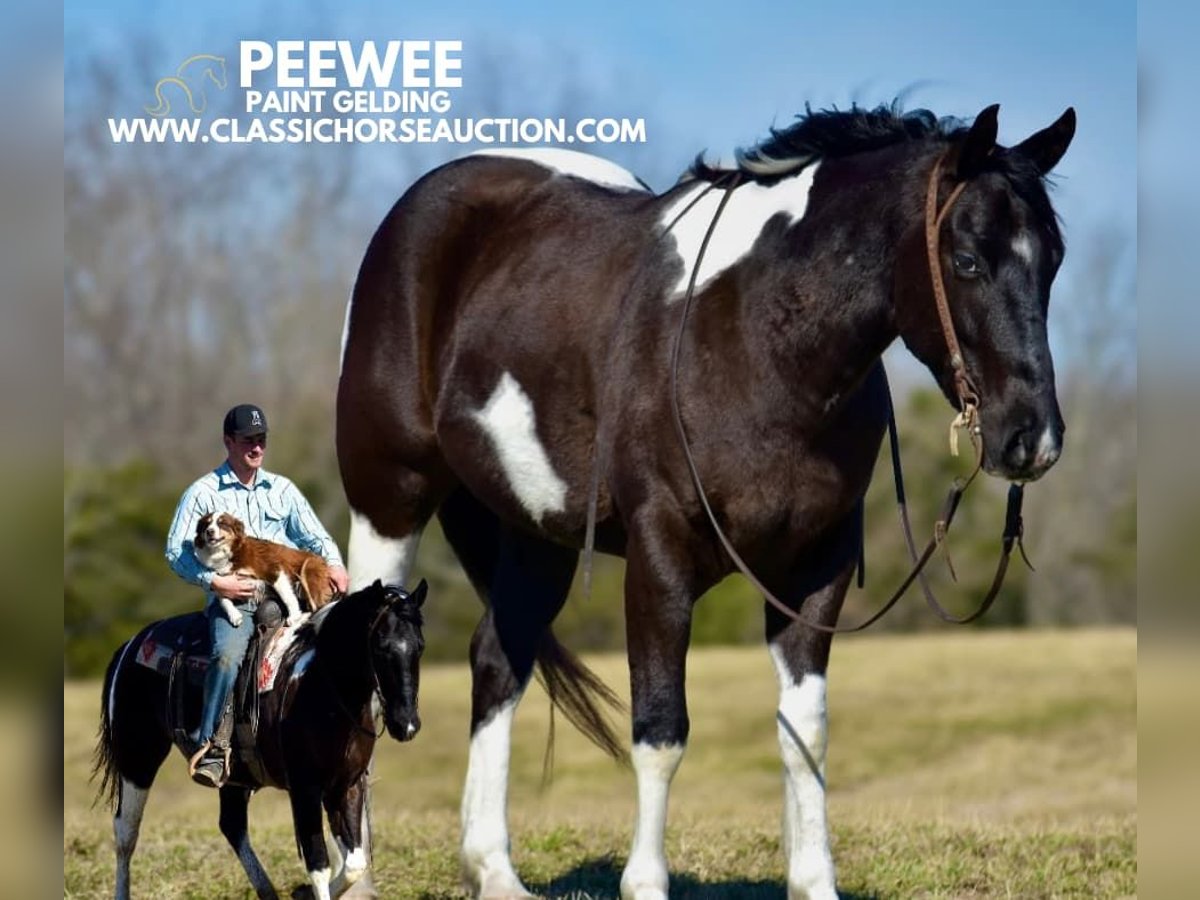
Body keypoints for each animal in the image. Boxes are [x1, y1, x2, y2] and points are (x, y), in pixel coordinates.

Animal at [92, 580, 427, 900]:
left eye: (420, 647)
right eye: (381, 647)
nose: (407, 724)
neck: (322, 687)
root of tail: (131, 645)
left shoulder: (346, 786)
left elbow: (355, 863)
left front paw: (302, 893)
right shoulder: (305, 789)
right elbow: (318, 864)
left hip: (233, 776)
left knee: (231, 825)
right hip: (137, 756)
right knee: (126, 832)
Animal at [192, 513, 336, 628]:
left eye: (222, 523)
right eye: (206, 524)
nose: (209, 531)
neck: (230, 552)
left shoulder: (273, 570)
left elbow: (287, 597)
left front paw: (294, 616)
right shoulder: (223, 581)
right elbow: (224, 600)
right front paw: (235, 616)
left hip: (308, 569)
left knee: (316, 604)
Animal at [338, 100, 1080, 900]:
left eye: (1053, 261)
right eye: (967, 260)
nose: (1032, 439)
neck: (755, 339)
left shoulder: (814, 569)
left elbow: (804, 731)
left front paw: (814, 881)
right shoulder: (660, 559)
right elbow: (662, 731)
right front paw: (645, 884)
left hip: (538, 535)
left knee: (497, 661)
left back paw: (495, 872)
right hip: (389, 497)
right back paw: (357, 879)